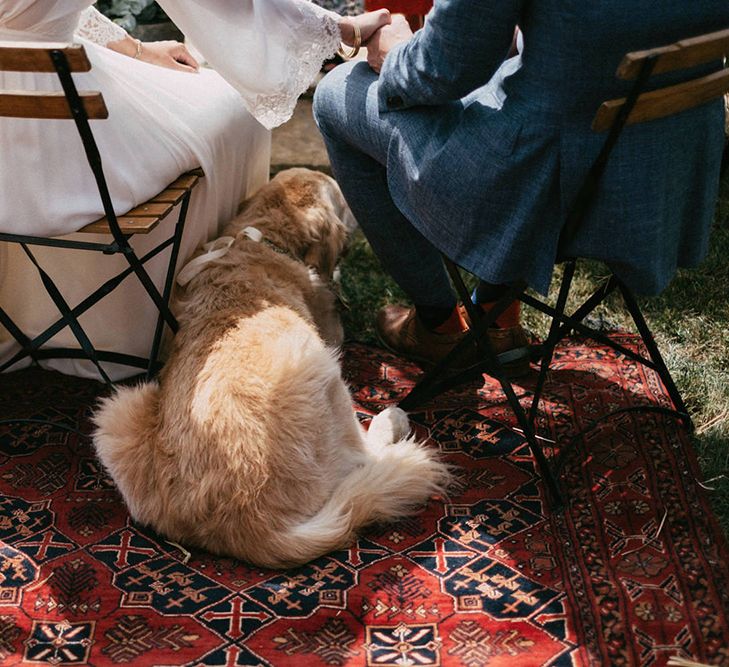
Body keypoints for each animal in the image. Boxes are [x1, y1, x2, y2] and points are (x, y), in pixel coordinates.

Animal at [92, 168, 450, 568]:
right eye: (341, 198)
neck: (263, 237)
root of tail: (246, 527)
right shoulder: (331, 332)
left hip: (116, 412)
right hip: (315, 360)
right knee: (362, 456)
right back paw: (392, 420)